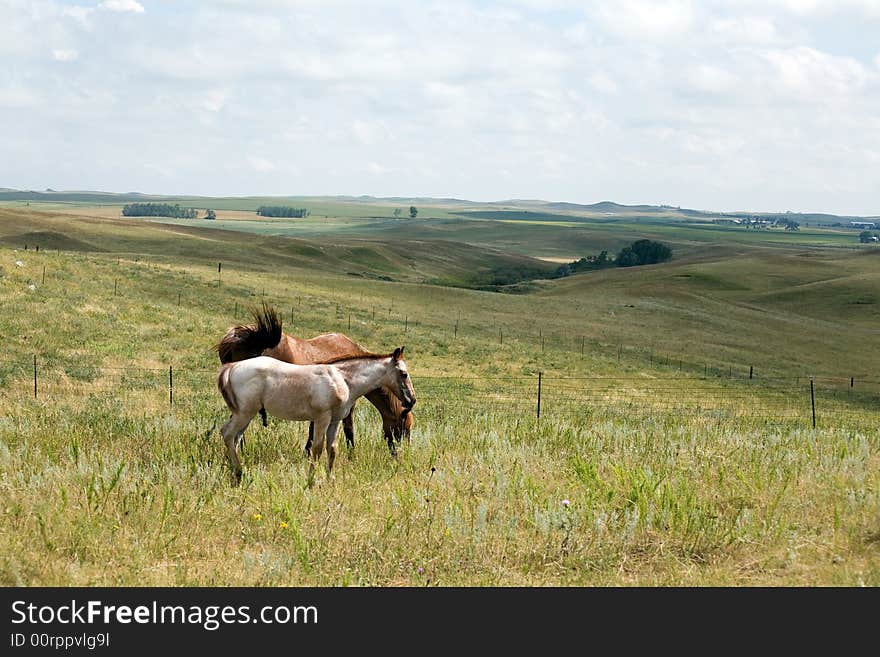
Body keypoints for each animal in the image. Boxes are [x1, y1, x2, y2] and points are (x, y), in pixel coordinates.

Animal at [218, 346, 414, 484]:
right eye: (403, 374)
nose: (411, 400)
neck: (342, 380)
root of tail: (232, 367)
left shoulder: (335, 420)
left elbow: (332, 448)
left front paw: (330, 479)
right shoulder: (322, 418)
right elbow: (317, 448)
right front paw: (311, 480)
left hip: (244, 415)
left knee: (235, 438)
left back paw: (233, 472)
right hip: (245, 413)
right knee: (227, 433)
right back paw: (239, 472)